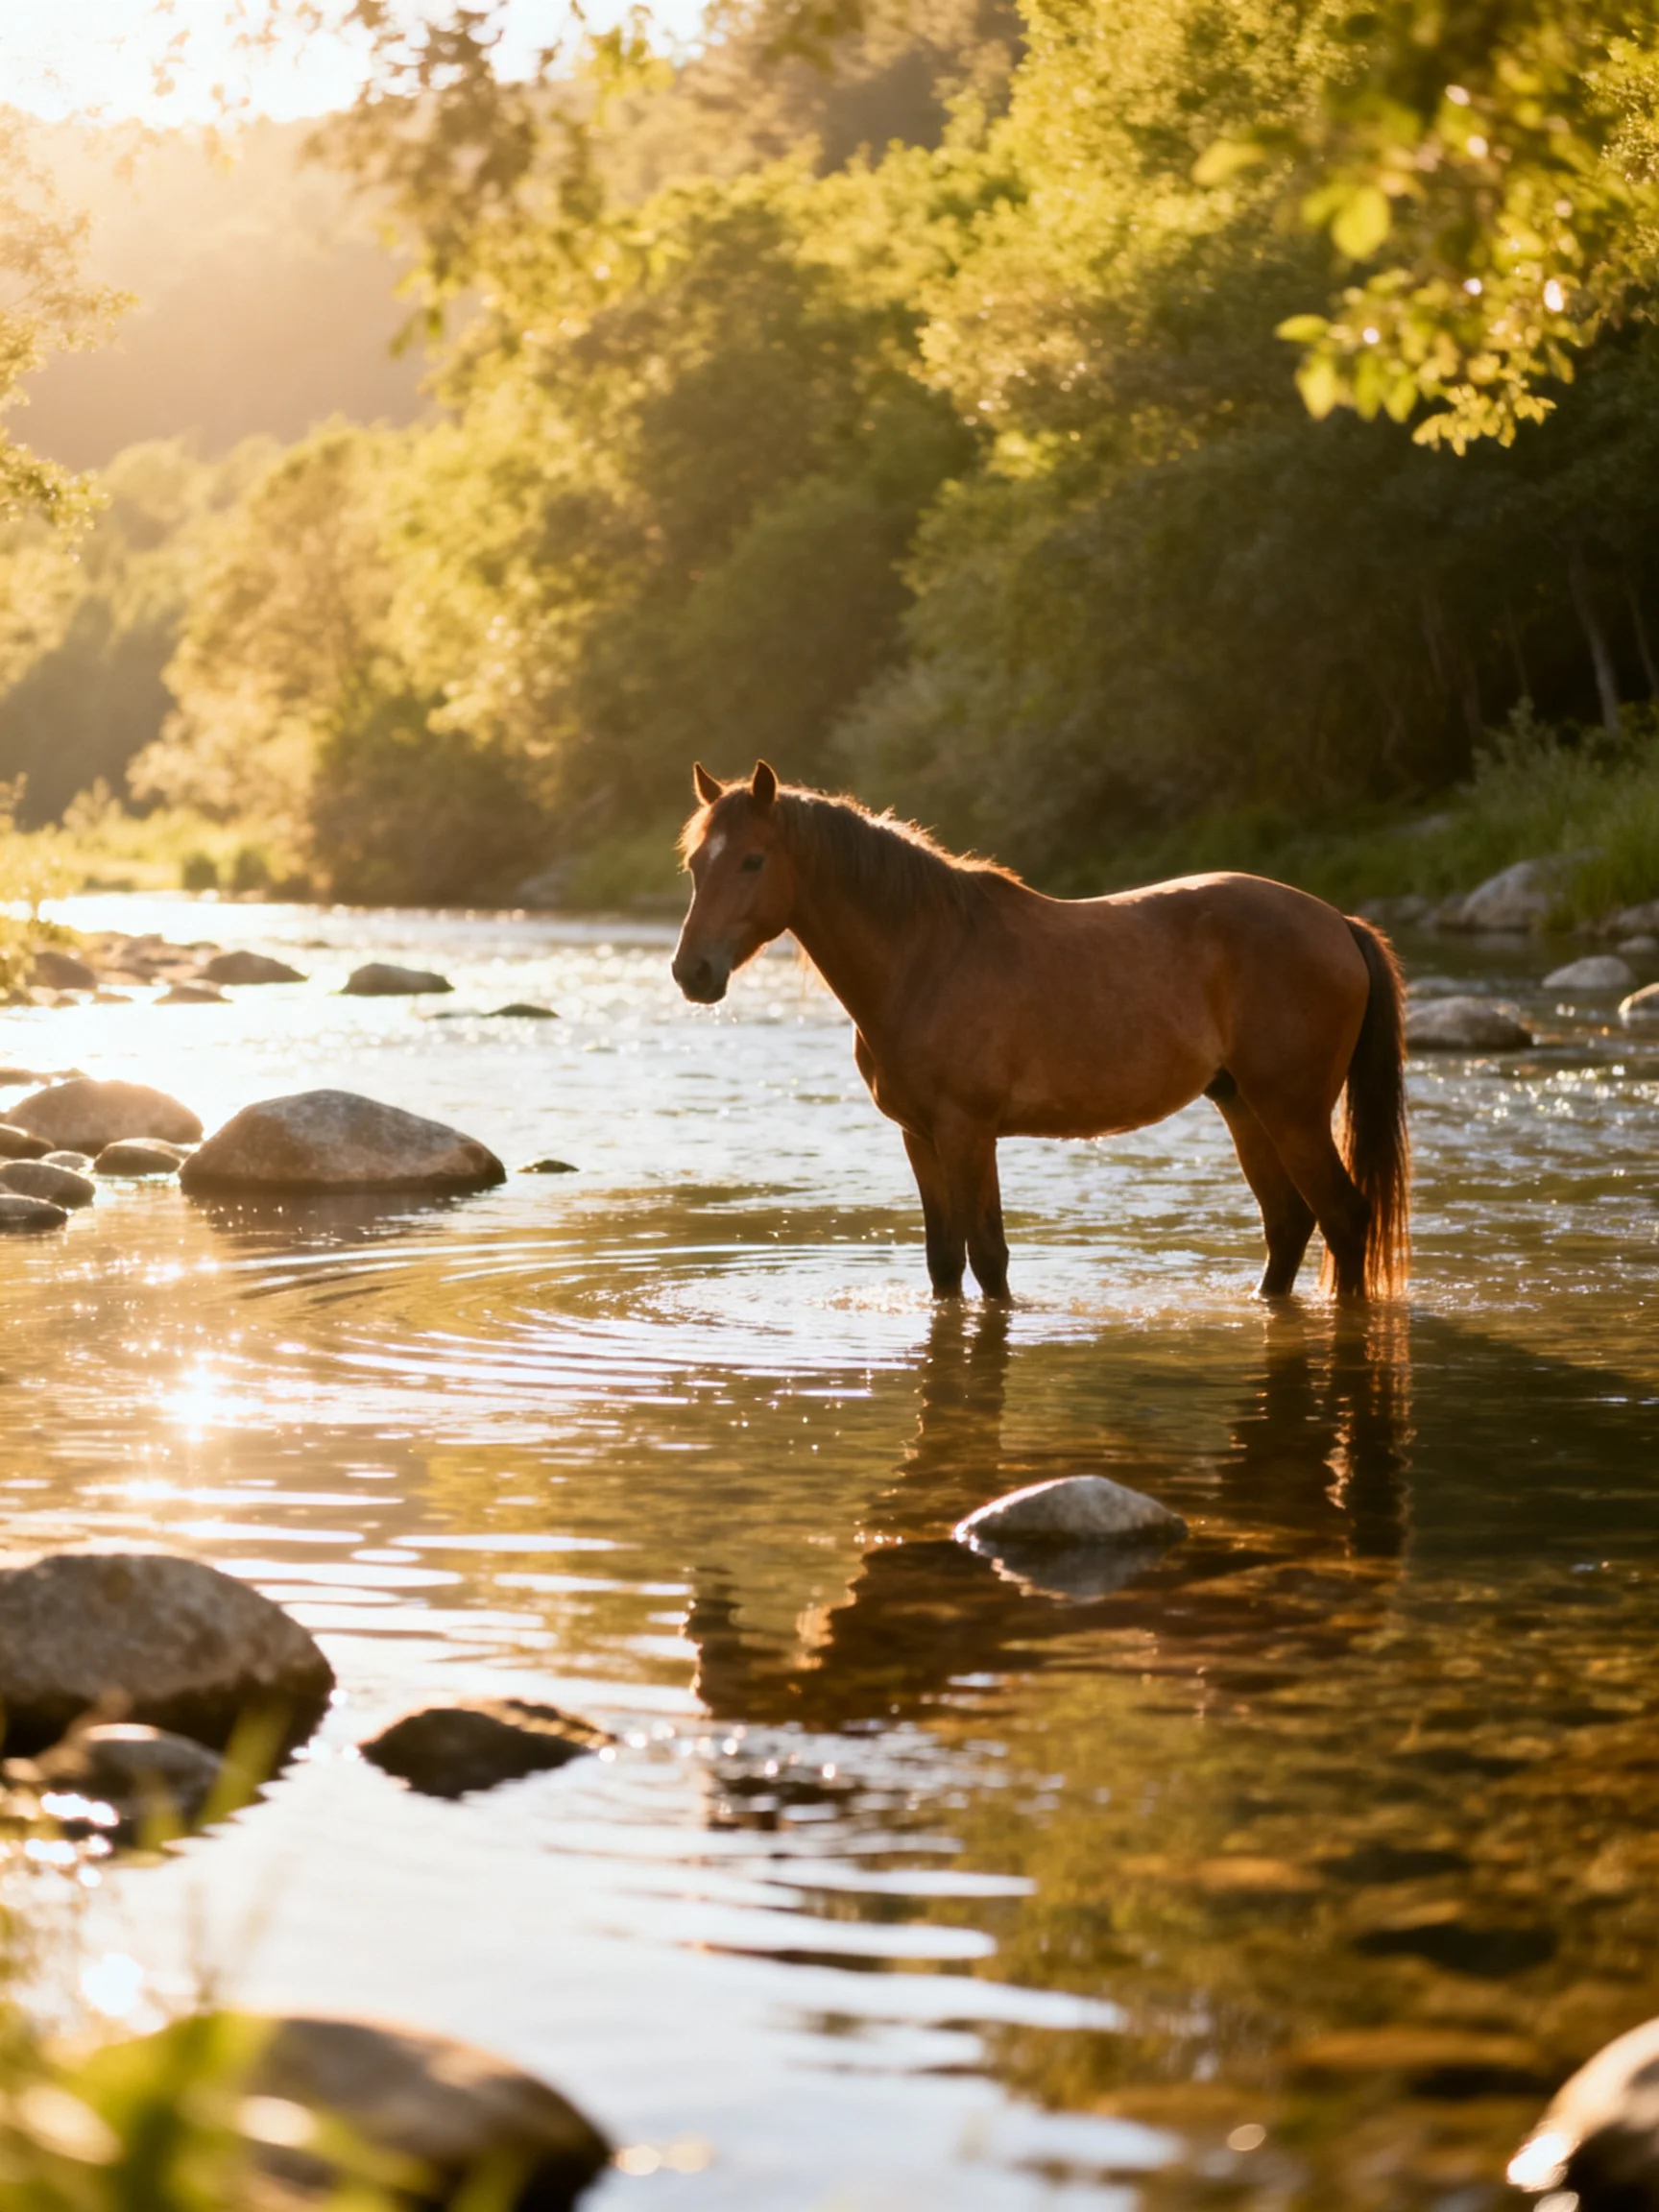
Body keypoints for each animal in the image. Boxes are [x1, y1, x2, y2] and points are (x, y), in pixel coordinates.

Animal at [672, 760, 1409, 1303]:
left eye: (753, 860)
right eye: (695, 865)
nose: (692, 972)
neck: (927, 957)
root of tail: (1339, 922)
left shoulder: (966, 1131)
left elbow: (987, 1256)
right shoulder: (922, 1136)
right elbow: (949, 1260)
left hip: (1293, 1113)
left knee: (1345, 1219)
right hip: (1245, 1107)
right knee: (1289, 1223)